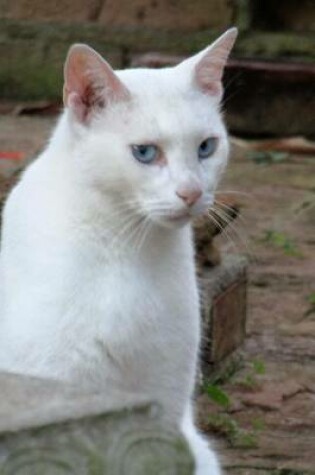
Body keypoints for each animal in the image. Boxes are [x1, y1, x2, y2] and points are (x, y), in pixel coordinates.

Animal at [0, 28, 237, 472]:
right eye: (144, 152)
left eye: (206, 147)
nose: (192, 193)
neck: (128, 245)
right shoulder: (53, 384)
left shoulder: (166, 398)